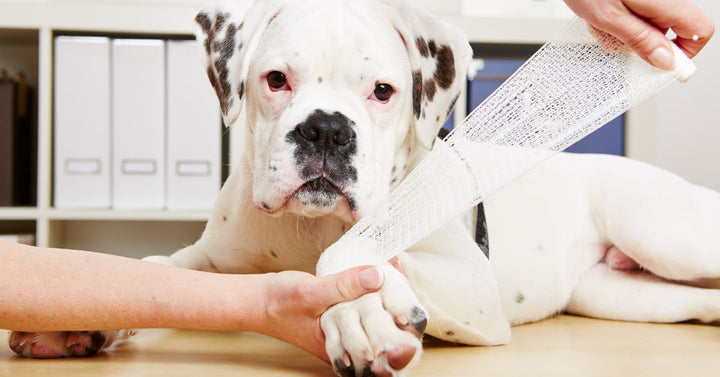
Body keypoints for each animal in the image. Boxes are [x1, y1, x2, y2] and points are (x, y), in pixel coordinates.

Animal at [11, 0, 720, 374]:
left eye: (383, 91)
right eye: (275, 80)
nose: (326, 129)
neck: (307, 226)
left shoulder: (476, 292)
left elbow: (345, 258)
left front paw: (358, 316)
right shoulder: (207, 263)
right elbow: (152, 268)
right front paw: (84, 318)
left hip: (657, 231)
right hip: (622, 294)